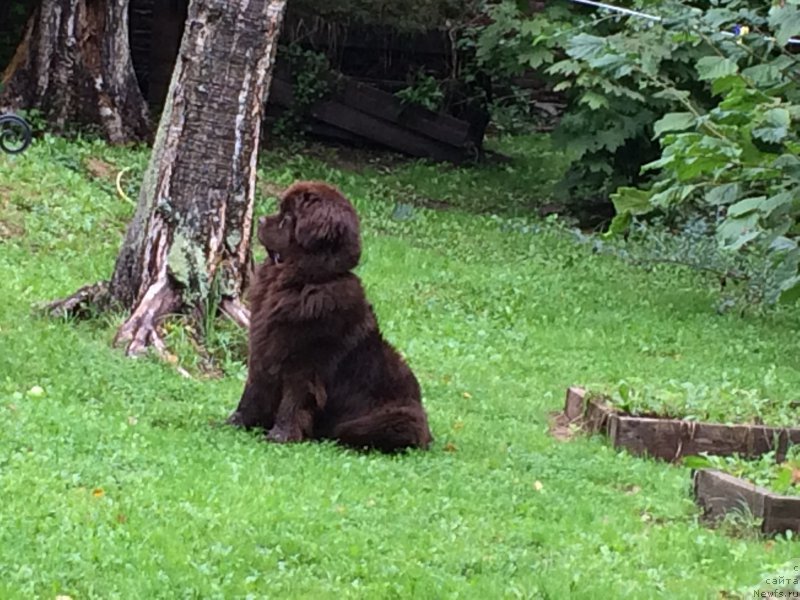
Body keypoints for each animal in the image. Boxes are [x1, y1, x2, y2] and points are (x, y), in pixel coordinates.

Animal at [227, 180, 432, 452]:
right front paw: (235, 421)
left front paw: (280, 435)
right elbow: (253, 390)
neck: (298, 283)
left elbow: (293, 401)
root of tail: (429, 434)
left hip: (397, 418)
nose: (259, 220)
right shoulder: (263, 351)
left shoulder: (304, 364)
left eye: (287, 219)